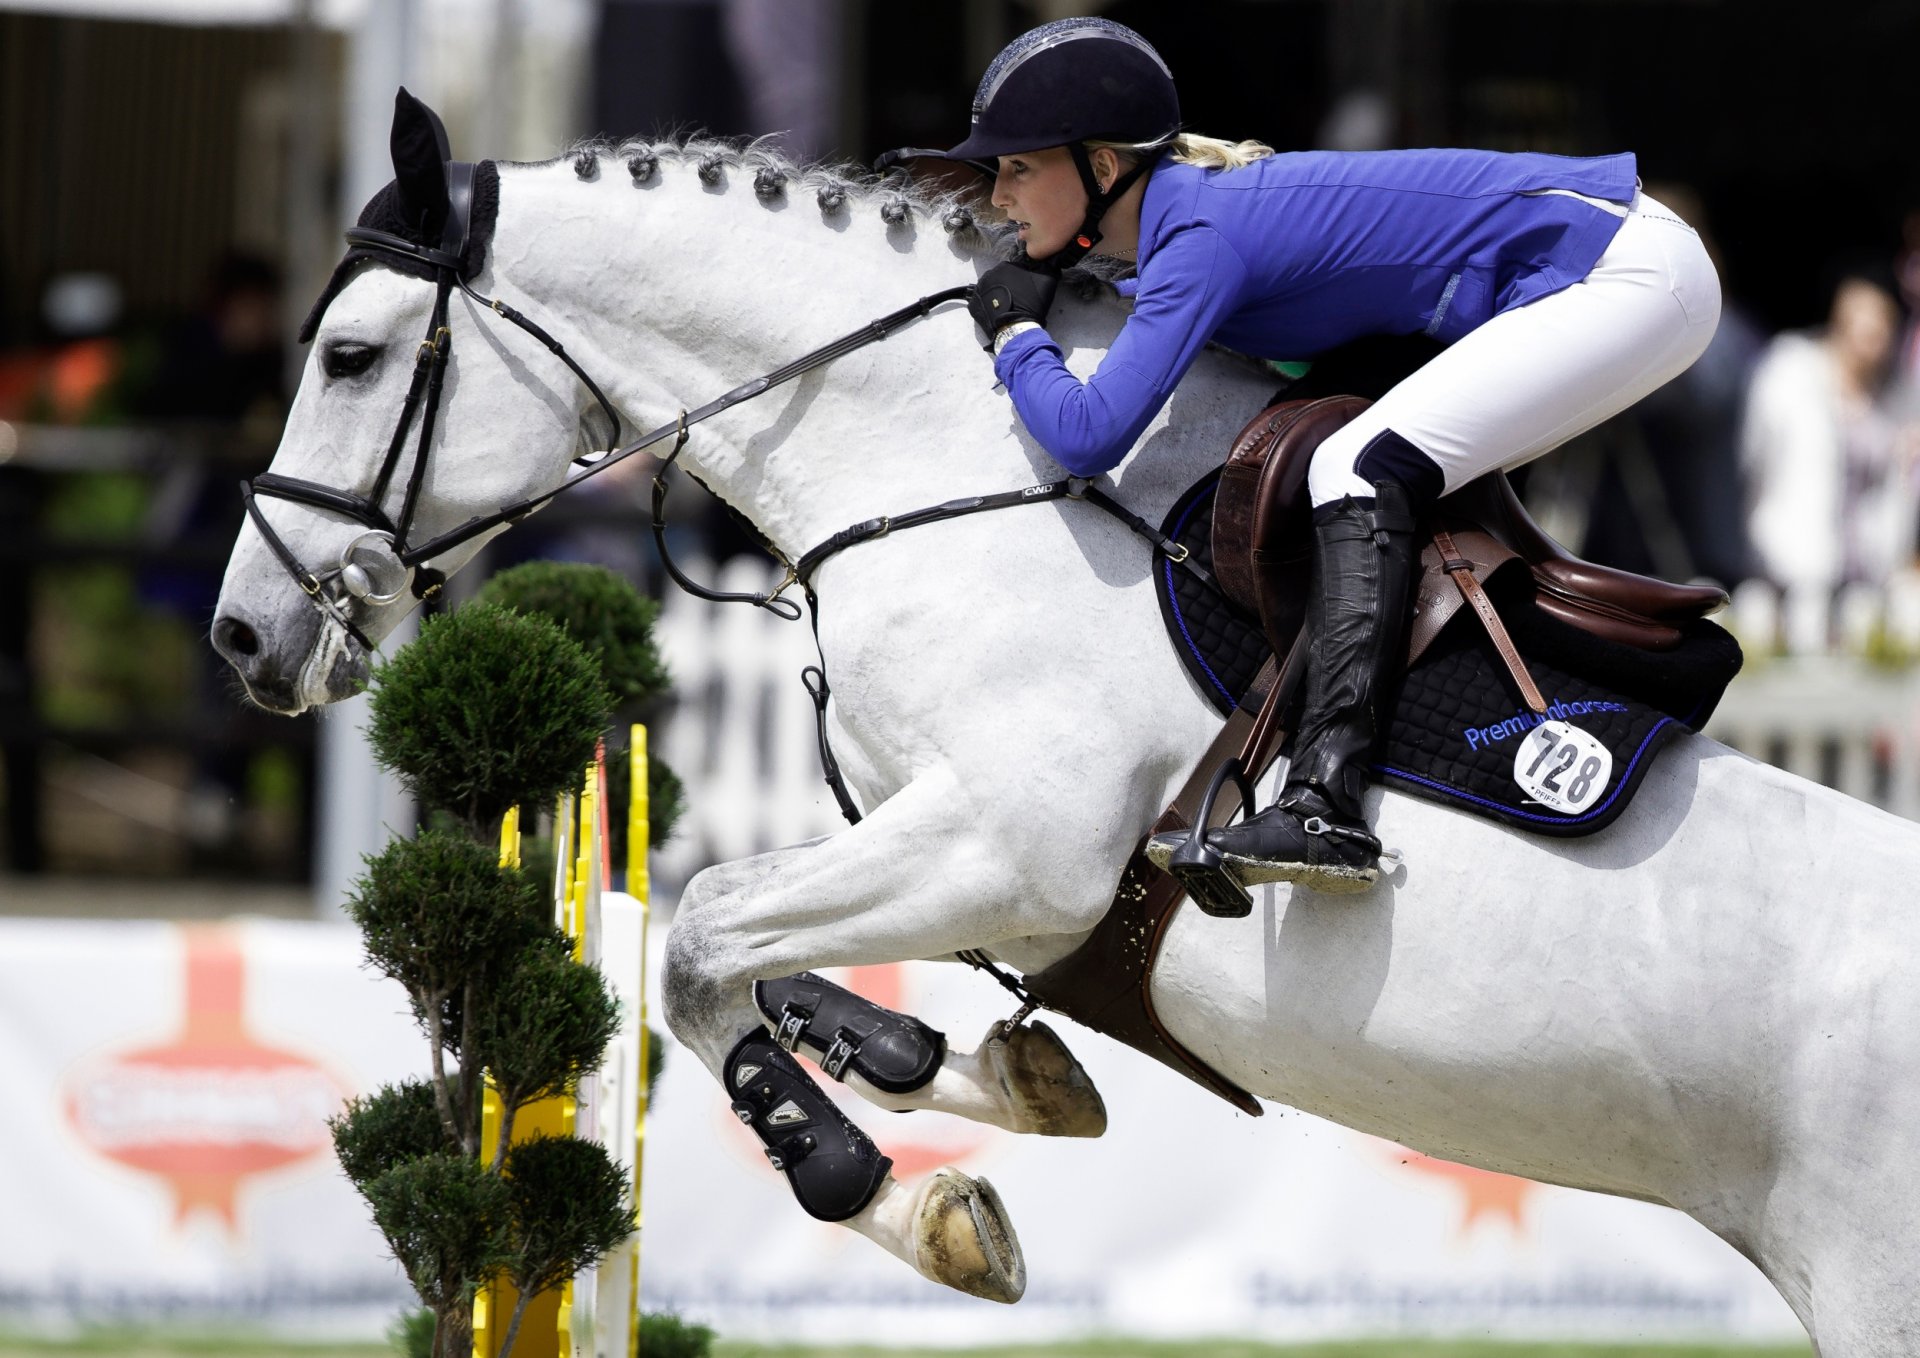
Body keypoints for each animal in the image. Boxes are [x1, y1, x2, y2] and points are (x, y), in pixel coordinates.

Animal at [214, 130, 1920, 1358]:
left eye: (349, 358)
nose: (244, 636)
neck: (948, 461)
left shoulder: (1009, 846)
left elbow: (702, 941)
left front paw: (896, 1200)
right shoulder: (968, 862)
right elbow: (774, 963)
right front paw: (967, 1070)